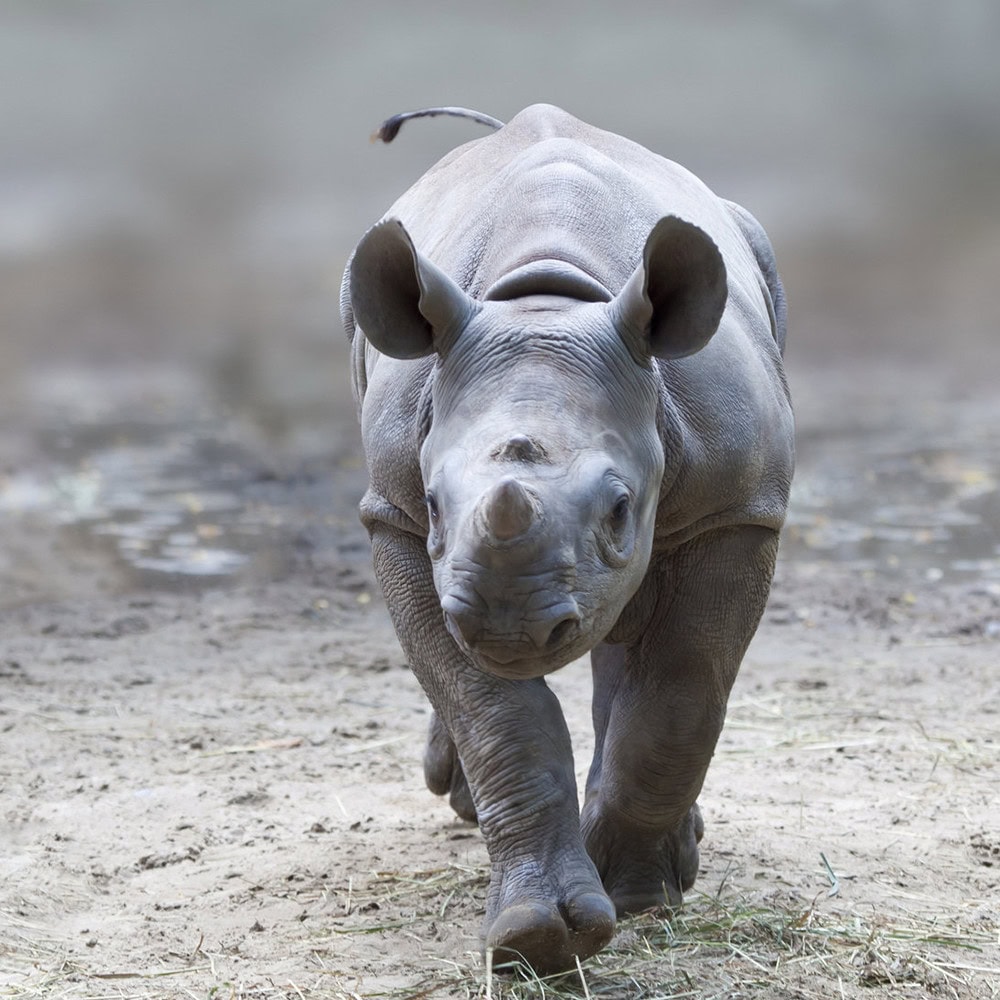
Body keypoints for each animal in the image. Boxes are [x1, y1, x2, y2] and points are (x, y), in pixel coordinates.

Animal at [342, 104, 793, 974]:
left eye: (619, 510)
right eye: (438, 506)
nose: (508, 628)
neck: (546, 308)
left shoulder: (738, 507)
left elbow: (683, 690)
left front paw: (634, 890)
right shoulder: (396, 513)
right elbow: (495, 715)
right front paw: (539, 938)